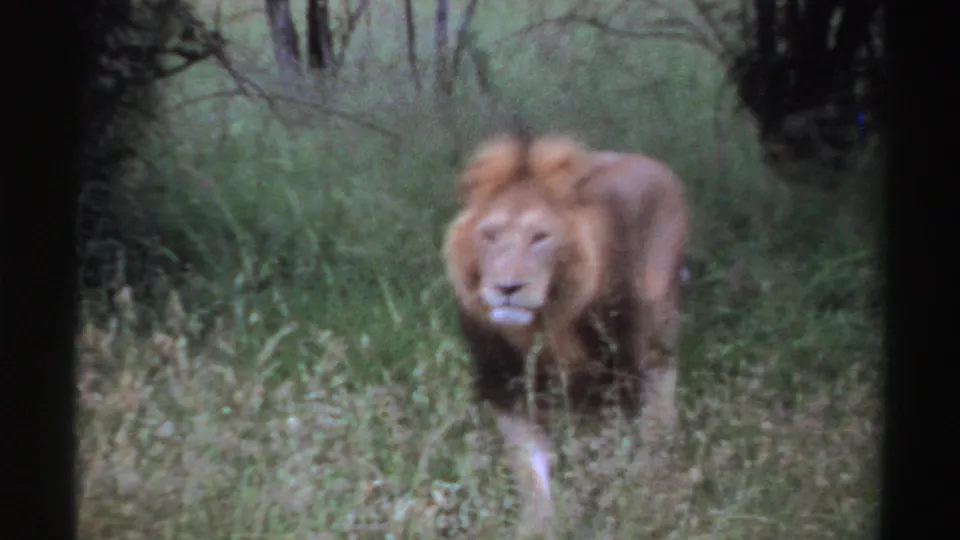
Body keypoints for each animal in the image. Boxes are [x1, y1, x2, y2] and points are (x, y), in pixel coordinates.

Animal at [442, 130, 690, 536]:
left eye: (540, 237)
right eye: (490, 234)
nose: (508, 287)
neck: (544, 321)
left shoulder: (619, 374)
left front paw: (620, 502)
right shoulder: (506, 383)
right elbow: (530, 470)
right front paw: (538, 526)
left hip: (658, 320)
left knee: (663, 385)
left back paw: (662, 457)